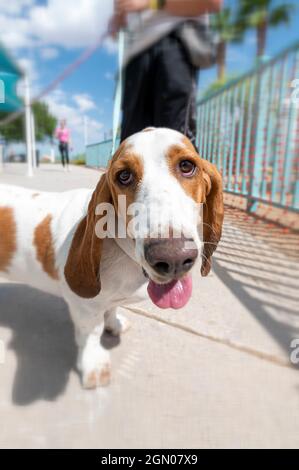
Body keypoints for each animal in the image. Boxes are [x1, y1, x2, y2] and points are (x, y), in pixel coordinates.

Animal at [0, 129, 224, 390]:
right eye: (124, 176)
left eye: (187, 166)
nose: (173, 257)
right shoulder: (83, 307)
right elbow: (91, 333)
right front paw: (94, 366)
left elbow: (111, 308)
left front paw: (114, 324)